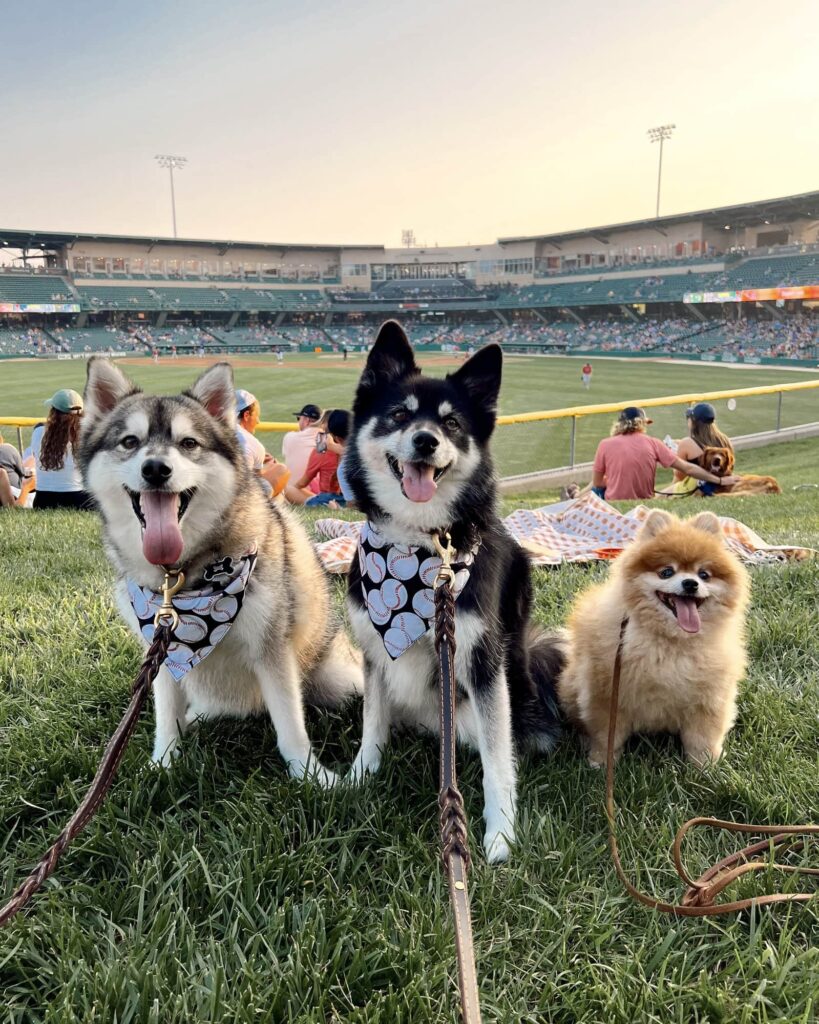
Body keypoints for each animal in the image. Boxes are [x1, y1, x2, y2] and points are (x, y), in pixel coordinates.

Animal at [78, 356, 360, 778]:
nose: (156, 468)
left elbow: (290, 724)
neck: (182, 579)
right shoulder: (162, 654)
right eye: (130, 442)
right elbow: (167, 715)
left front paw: (312, 777)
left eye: (188, 443)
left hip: (336, 676)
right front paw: (163, 763)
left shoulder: (272, 648)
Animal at [341, 321, 561, 864]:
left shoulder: (482, 660)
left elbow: (498, 761)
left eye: (453, 423)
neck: (418, 547)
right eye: (399, 414)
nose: (424, 441)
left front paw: (500, 833)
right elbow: (372, 723)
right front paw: (360, 776)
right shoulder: (374, 650)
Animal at [556, 512, 749, 770]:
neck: (671, 642)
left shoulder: (708, 699)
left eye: (703, 575)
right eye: (666, 572)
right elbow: (606, 736)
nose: (691, 583)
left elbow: (702, 739)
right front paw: (600, 763)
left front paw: (704, 768)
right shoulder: (607, 695)